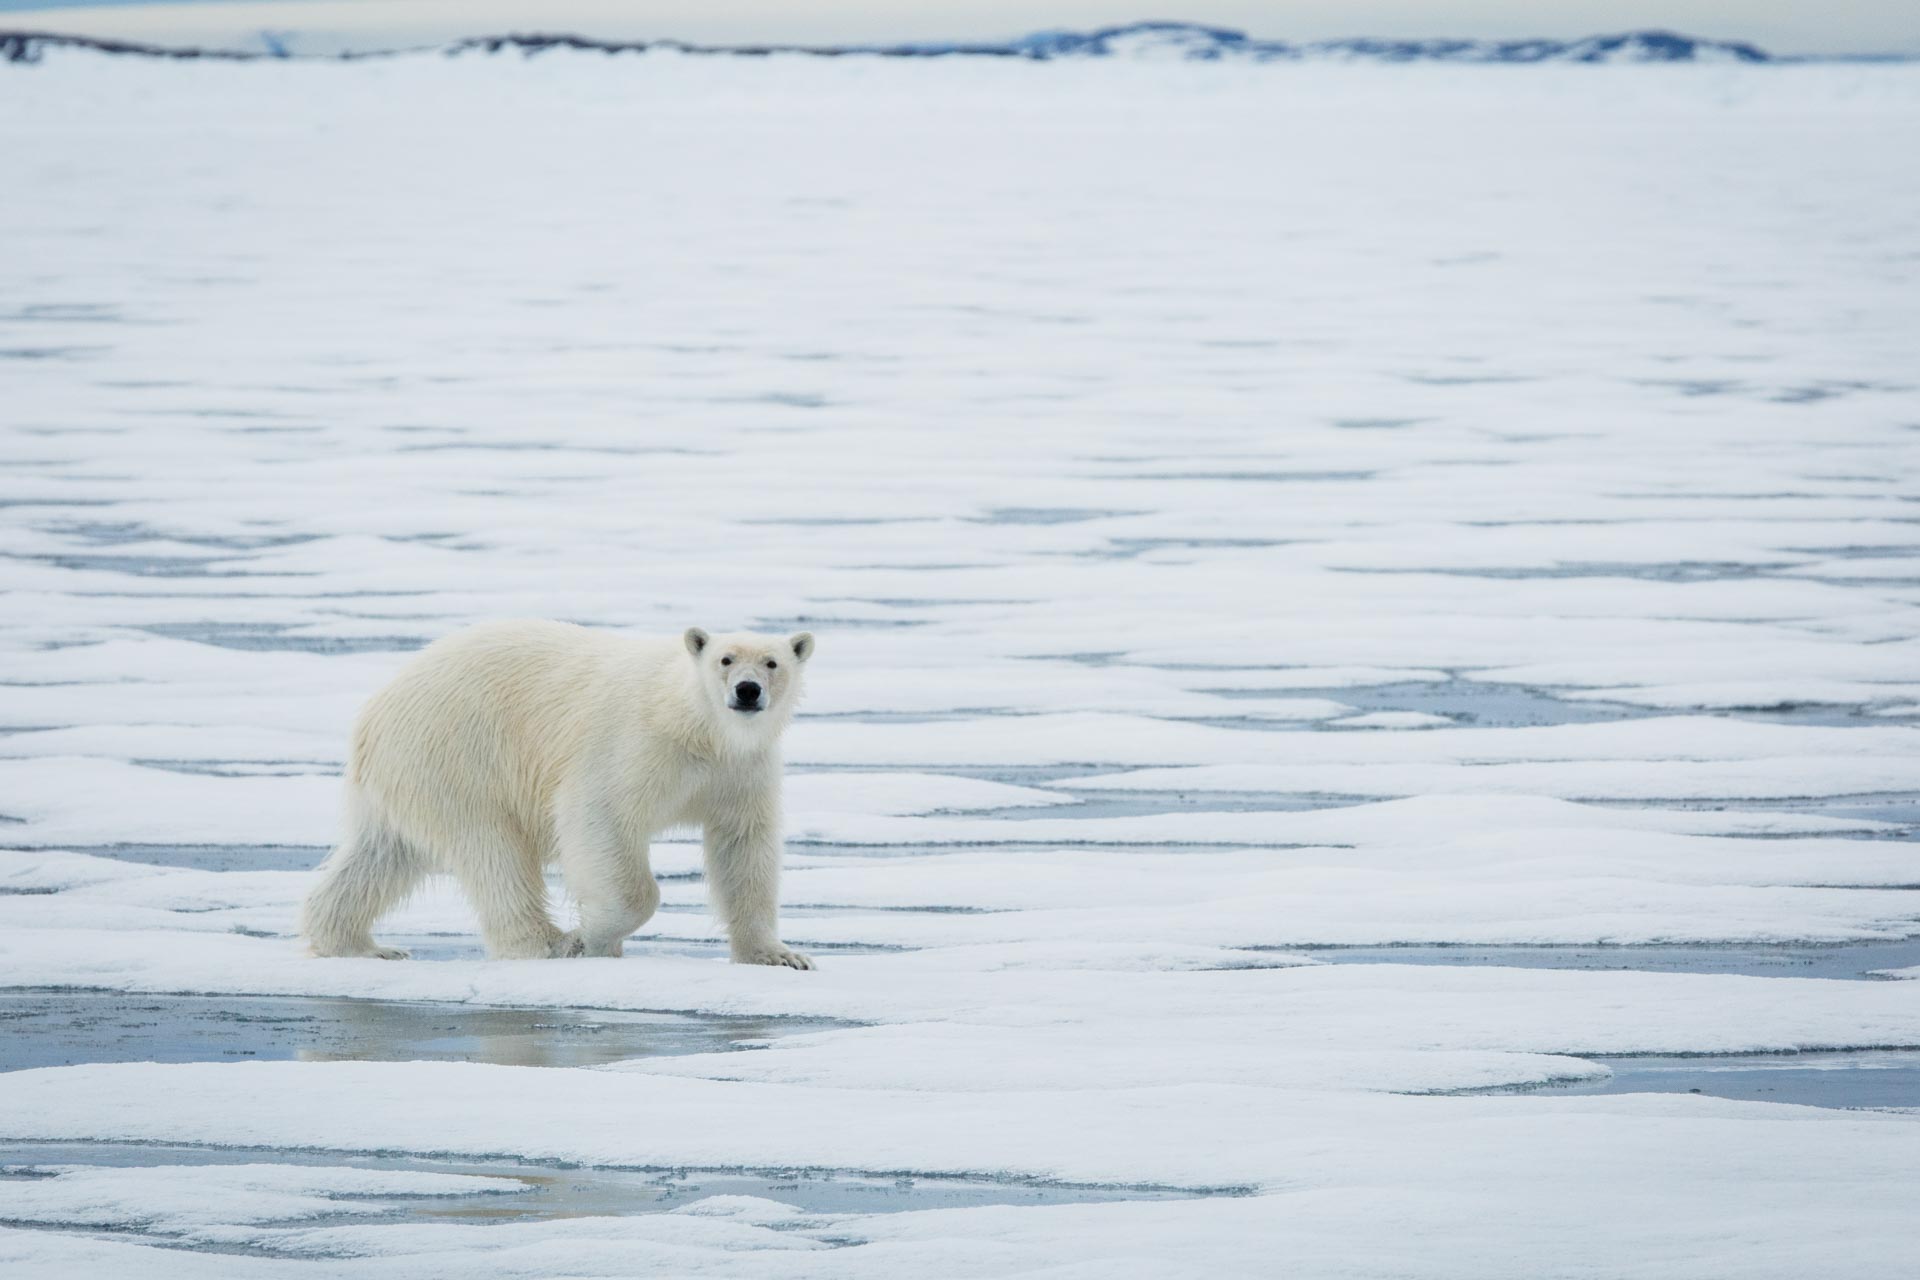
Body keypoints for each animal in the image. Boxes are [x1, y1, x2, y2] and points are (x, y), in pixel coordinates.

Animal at [298, 619, 816, 969]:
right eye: (724, 659)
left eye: (772, 662)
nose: (747, 691)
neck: (695, 726)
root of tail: (376, 710)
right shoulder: (637, 747)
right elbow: (597, 816)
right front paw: (592, 939)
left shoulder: (740, 771)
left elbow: (743, 848)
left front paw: (779, 955)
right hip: (458, 755)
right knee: (492, 851)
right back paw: (547, 943)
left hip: (408, 774)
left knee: (382, 855)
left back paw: (359, 945)